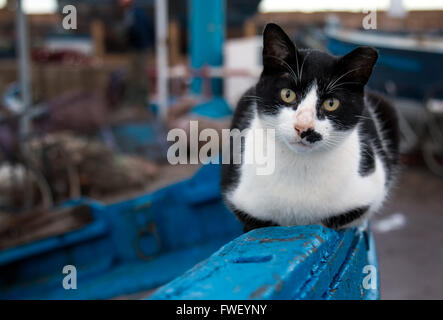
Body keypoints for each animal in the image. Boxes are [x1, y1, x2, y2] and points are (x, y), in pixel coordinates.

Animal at [220, 23, 400, 232]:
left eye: (331, 103)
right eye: (287, 94)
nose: (303, 127)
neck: (299, 165)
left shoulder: (369, 189)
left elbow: (334, 220)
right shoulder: (240, 198)